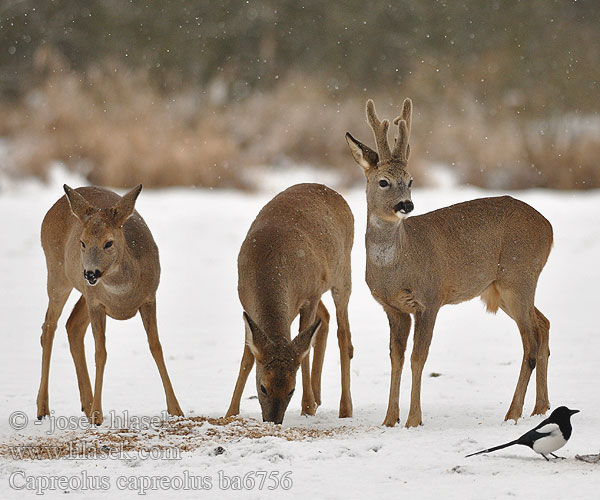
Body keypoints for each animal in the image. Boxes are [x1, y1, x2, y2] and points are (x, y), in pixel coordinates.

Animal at [37, 186, 183, 424]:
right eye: (82, 242)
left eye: (108, 243)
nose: (89, 273)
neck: (123, 294)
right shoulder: (96, 303)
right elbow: (100, 352)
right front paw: (97, 415)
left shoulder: (149, 298)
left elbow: (156, 346)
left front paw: (176, 409)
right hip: (58, 273)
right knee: (49, 326)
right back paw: (43, 408)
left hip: (83, 291)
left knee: (72, 325)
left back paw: (86, 404)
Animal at [227, 182, 354, 424]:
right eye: (263, 387)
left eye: (291, 390)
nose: (273, 421)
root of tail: (330, 190)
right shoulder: (246, 304)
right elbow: (247, 358)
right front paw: (231, 412)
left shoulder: (310, 295)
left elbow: (303, 354)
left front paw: (307, 406)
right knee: (326, 319)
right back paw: (319, 396)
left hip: (342, 274)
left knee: (342, 332)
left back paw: (344, 408)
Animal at [346, 99, 552, 428]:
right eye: (383, 182)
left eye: (411, 180)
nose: (406, 204)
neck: (397, 267)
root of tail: (549, 228)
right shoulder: (393, 308)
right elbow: (395, 358)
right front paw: (389, 419)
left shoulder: (430, 298)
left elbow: (418, 358)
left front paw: (413, 419)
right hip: (502, 288)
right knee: (543, 325)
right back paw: (540, 408)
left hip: (518, 277)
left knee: (530, 342)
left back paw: (513, 413)